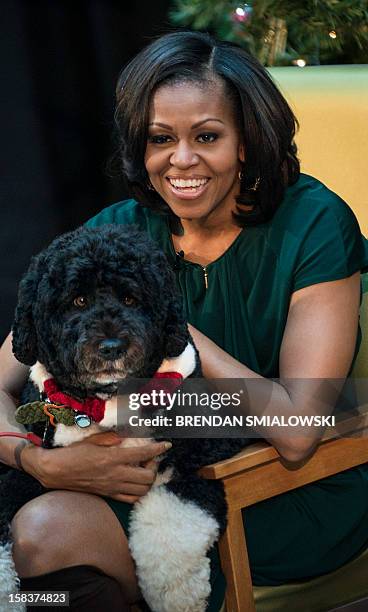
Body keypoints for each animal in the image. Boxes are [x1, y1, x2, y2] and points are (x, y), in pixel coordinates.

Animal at [0, 226, 247, 612]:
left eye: (131, 299)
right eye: (78, 301)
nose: (112, 346)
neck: (107, 405)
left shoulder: (206, 453)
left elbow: (172, 528)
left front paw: (178, 595)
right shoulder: (36, 469)